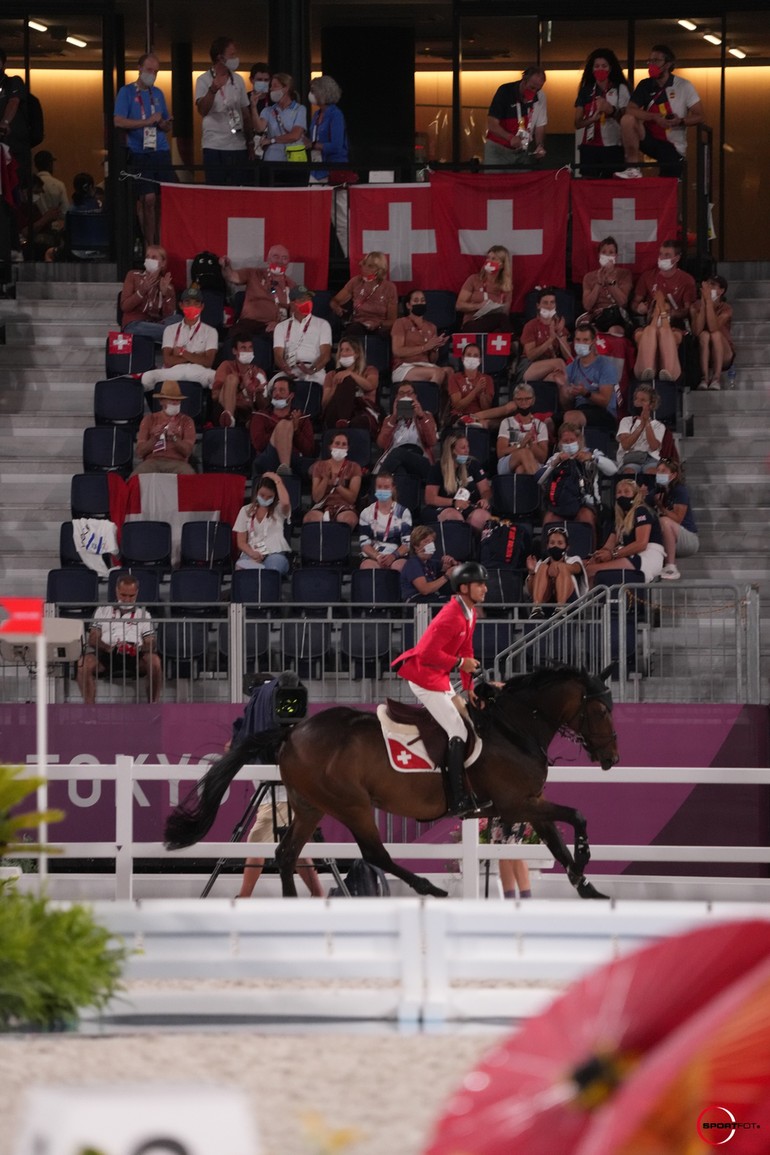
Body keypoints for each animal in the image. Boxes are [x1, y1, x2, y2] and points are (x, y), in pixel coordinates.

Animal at [167, 669, 618, 900]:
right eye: (599, 710)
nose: (612, 758)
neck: (513, 728)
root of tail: (292, 731)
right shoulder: (514, 803)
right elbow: (577, 816)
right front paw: (585, 857)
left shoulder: (531, 801)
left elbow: (557, 840)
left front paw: (587, 886)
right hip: (351, 804)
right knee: (373, 853)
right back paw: (428, 887)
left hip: (310, 804)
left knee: (286, 852)